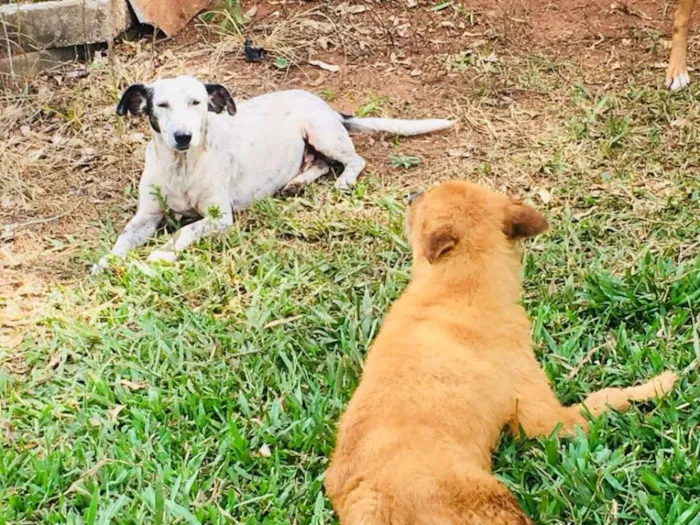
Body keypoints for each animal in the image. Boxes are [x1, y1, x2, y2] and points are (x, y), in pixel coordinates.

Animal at [91, 77, 454, 274]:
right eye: (161, 105)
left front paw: (161, 253)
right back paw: (295, 183)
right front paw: (106, 262)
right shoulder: (146, 216)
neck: (181, 166)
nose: (183, 136)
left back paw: (344, 180)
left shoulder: (219, 217)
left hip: (321, 132)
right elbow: (122, 240)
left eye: (197, 102)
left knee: (353, 160)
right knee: (320, 164)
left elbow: (183, 232)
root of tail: (329, 108)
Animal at [324, 181, 680, 524]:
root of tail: (372, 499)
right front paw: (657, 385)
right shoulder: (544, 417)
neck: (457, 289)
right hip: (492, 502)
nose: (411, 194)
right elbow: (606, 398)